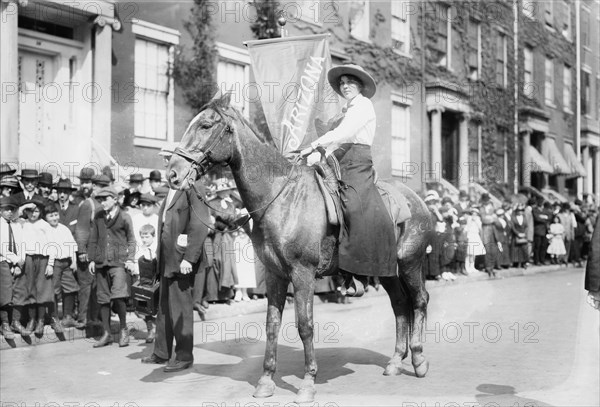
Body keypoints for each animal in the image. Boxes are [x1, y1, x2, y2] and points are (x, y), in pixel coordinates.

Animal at [166, 91, 434, 404]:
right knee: (400, 305)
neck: (281, 197)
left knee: (419, 301)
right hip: (388, 271)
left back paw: (418, 359)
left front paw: (308, 383)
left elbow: (305, 325)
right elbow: (272, 325)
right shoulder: (275, 275)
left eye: (206, 125)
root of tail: (417, 200)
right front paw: (266, 380)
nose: (173, 174)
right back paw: (394, 361)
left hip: (410, 263)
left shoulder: (302, 274)